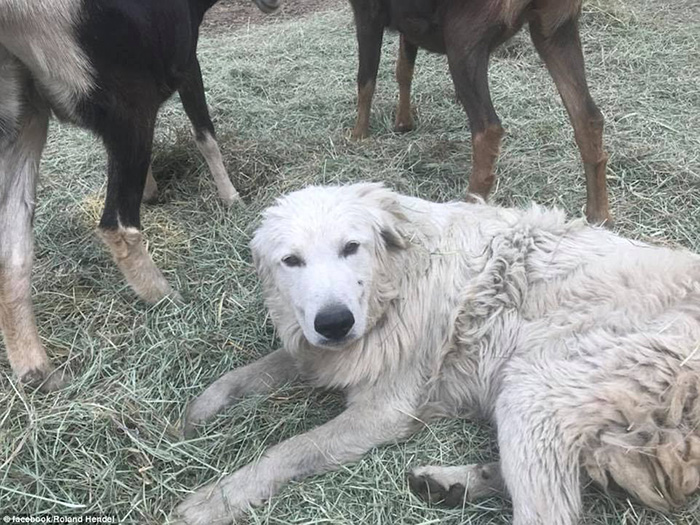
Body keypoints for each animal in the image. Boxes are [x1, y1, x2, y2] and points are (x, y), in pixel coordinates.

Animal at [0, 0, 278, 388]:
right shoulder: (186, 63)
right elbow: (205, 135)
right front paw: (232, 199)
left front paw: (152, 189)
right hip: (126, 101)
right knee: (116, 223)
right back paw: (167, 298)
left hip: (22, 113)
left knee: (11, 250)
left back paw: (37, 370)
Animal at [176, 181, 700, 524]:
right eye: (291, 261)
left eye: (351, 247)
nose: (335, 322)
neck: (396, 280)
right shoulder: (325, 349)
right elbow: (254, 371)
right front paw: (197, 411)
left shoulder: (383, 411)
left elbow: (290, 448)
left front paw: (217, 498)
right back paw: (453, 484)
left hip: (533, 387)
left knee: (549, 511)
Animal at [350, 0, 612, 223]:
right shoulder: (408, 22)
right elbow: (404, 69)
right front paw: (403, 122)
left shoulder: (367, 11)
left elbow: (366, 79)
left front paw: (358, 136)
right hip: (556, 29)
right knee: (588, 118)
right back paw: (600, 217)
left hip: (463, 38)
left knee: (488, 129)